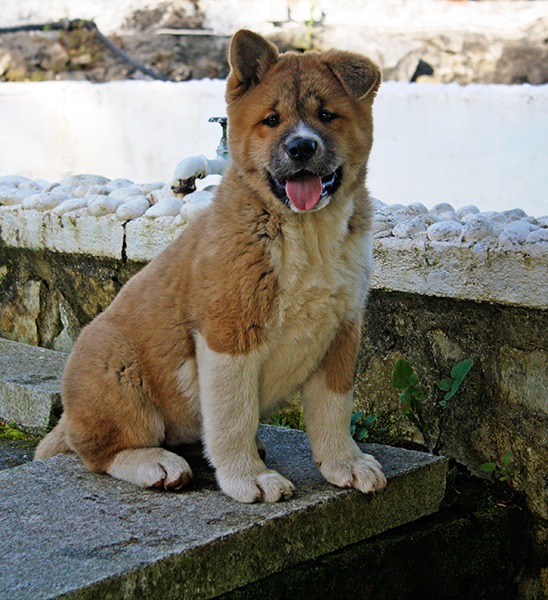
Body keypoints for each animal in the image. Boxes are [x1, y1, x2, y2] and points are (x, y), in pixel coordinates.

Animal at [35, 30, 386, 504]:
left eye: (327, 115)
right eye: (272, 120)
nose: (301, 146)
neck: (306, 234)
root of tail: (69, 414)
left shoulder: (342, 330)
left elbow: (334, 407)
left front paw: (344, 464)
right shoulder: (228, 335)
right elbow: (233, 415)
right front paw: (248, 478)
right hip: (117, 368)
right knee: (100, 450)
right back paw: (156, 464)